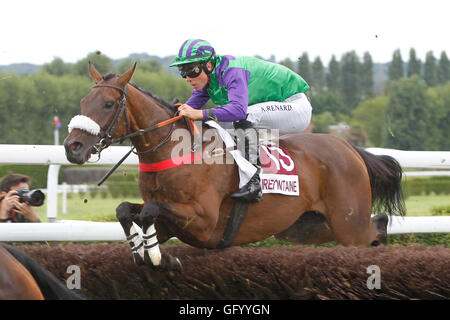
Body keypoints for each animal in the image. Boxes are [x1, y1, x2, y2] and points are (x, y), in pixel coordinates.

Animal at [63, 62, 404, 270]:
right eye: (82, 103)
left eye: (108, 104)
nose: (72, 147)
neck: (174, 149)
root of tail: (349, 147)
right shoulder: (170, 220)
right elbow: (126, 209)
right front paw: (146, 253)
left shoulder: (204, 220)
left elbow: (149, 210)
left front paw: (157, 256)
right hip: (307, 227)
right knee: (378, 222)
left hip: (349, 224)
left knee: (375, 227)